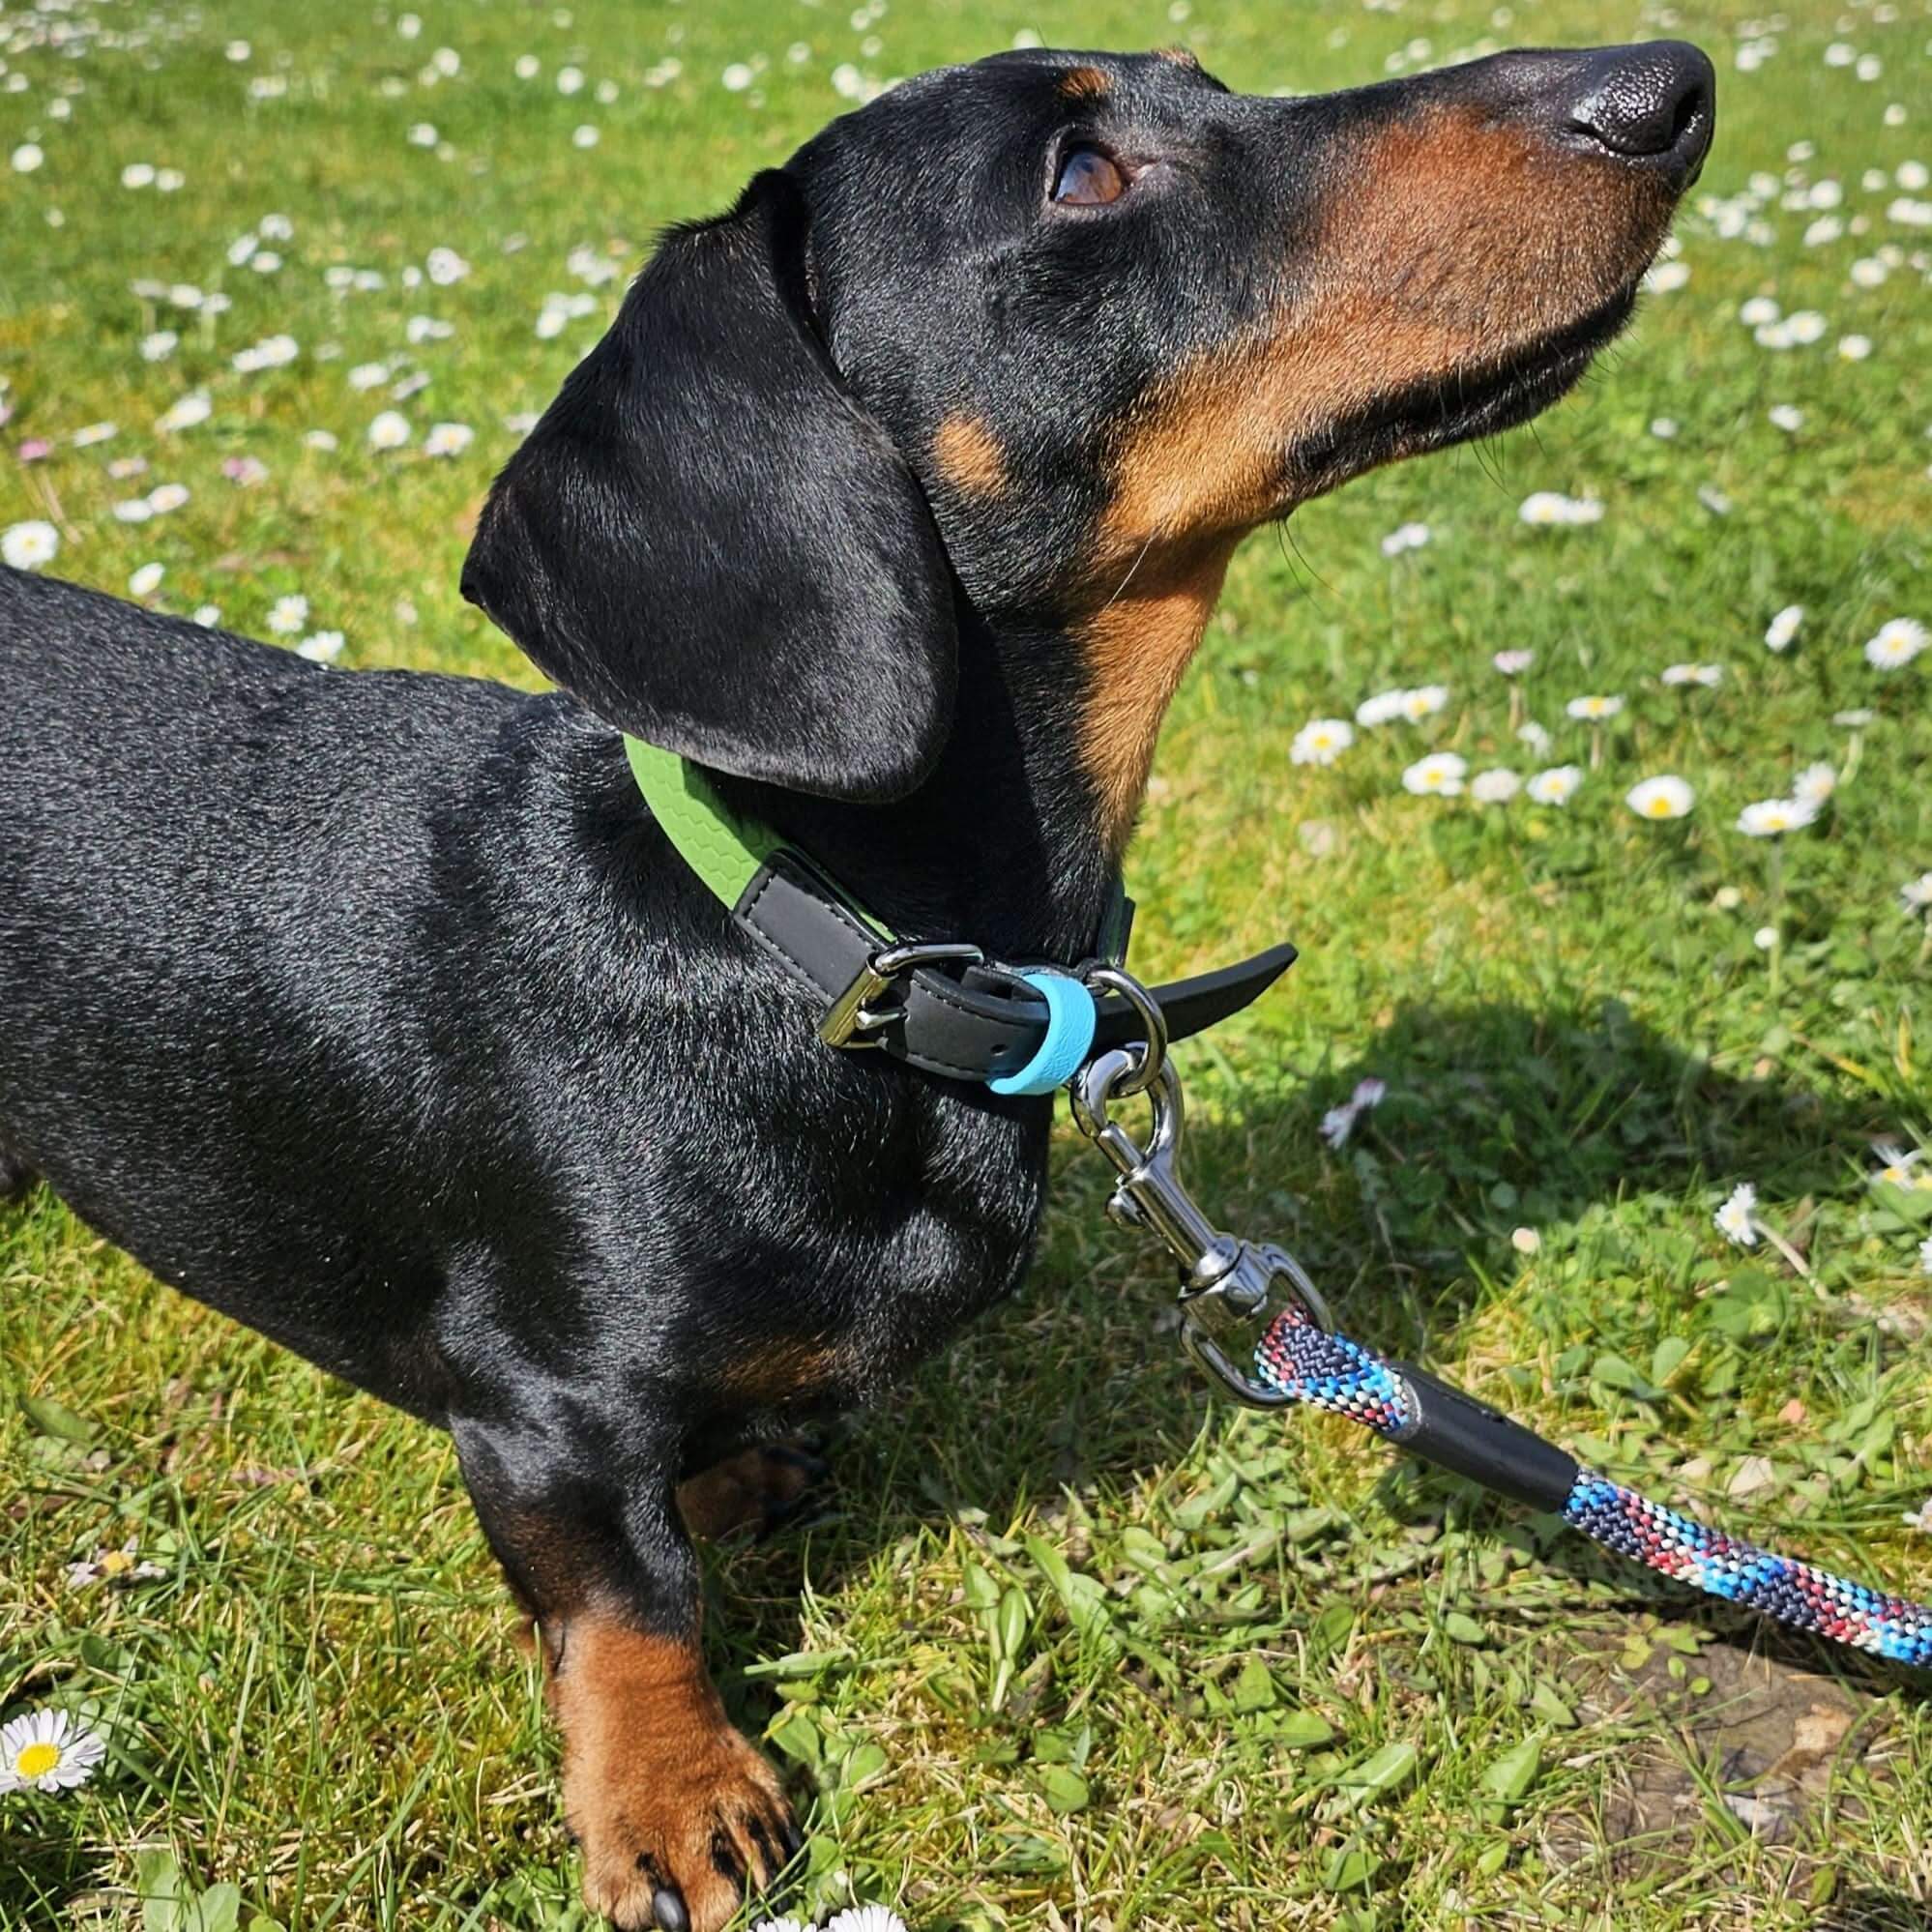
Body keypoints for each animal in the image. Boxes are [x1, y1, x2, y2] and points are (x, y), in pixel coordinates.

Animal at [7, 41, 1715, 1932]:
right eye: (1074, 173)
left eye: (1202, 73)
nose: (1664, 82)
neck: (817, 951)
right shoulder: (534, 1406)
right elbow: (624, 1600)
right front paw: (671, 1792)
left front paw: (735, 1469)